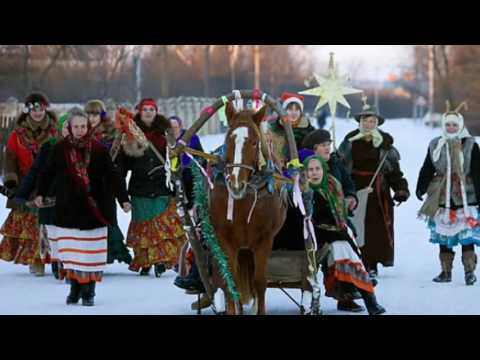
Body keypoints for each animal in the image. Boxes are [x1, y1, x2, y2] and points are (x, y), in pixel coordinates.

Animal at [209, 102, 284, 314]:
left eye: (253, 142)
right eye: (229, 140)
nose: (236, 184)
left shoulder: (264, 239)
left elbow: (259, 282)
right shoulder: (225, 238)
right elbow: (231, 282)